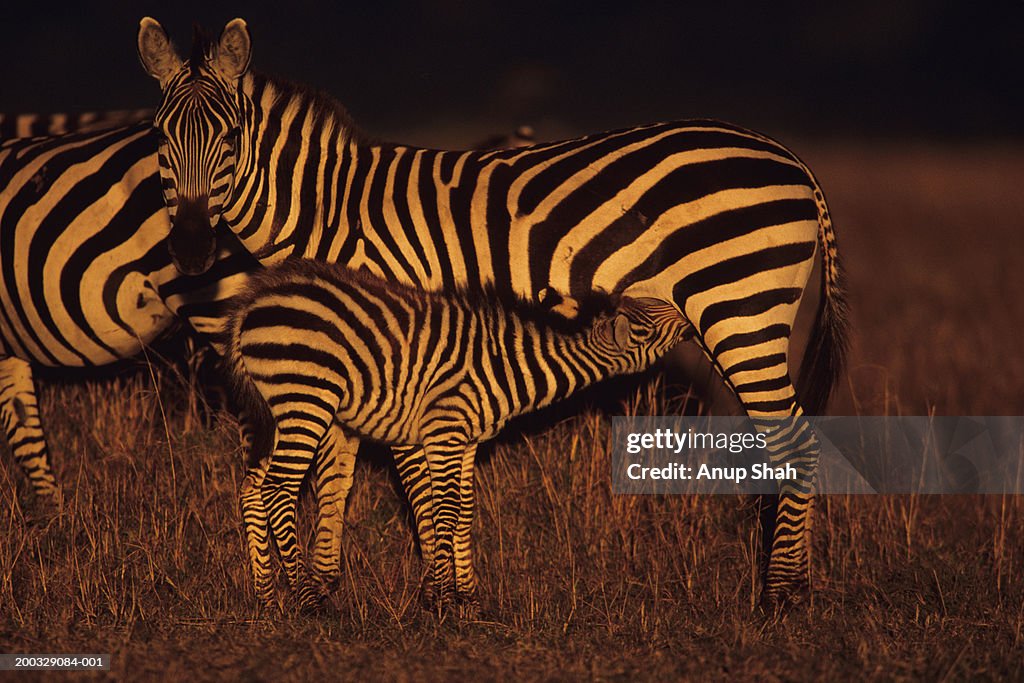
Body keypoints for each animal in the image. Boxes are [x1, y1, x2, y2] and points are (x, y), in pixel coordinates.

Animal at [228, 259, 692, 610]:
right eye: (649, 325)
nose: (689, 322)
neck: (508, 368)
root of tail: (254, 302)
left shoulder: (467, 440)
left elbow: (464, 510)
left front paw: (465, 595)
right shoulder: (445, 429)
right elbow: (444, 510)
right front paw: (439, 597)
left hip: (276, 411)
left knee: (251, 490)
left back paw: (267, 597)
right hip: (305, 399)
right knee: (279, 490)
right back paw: (306, 598)